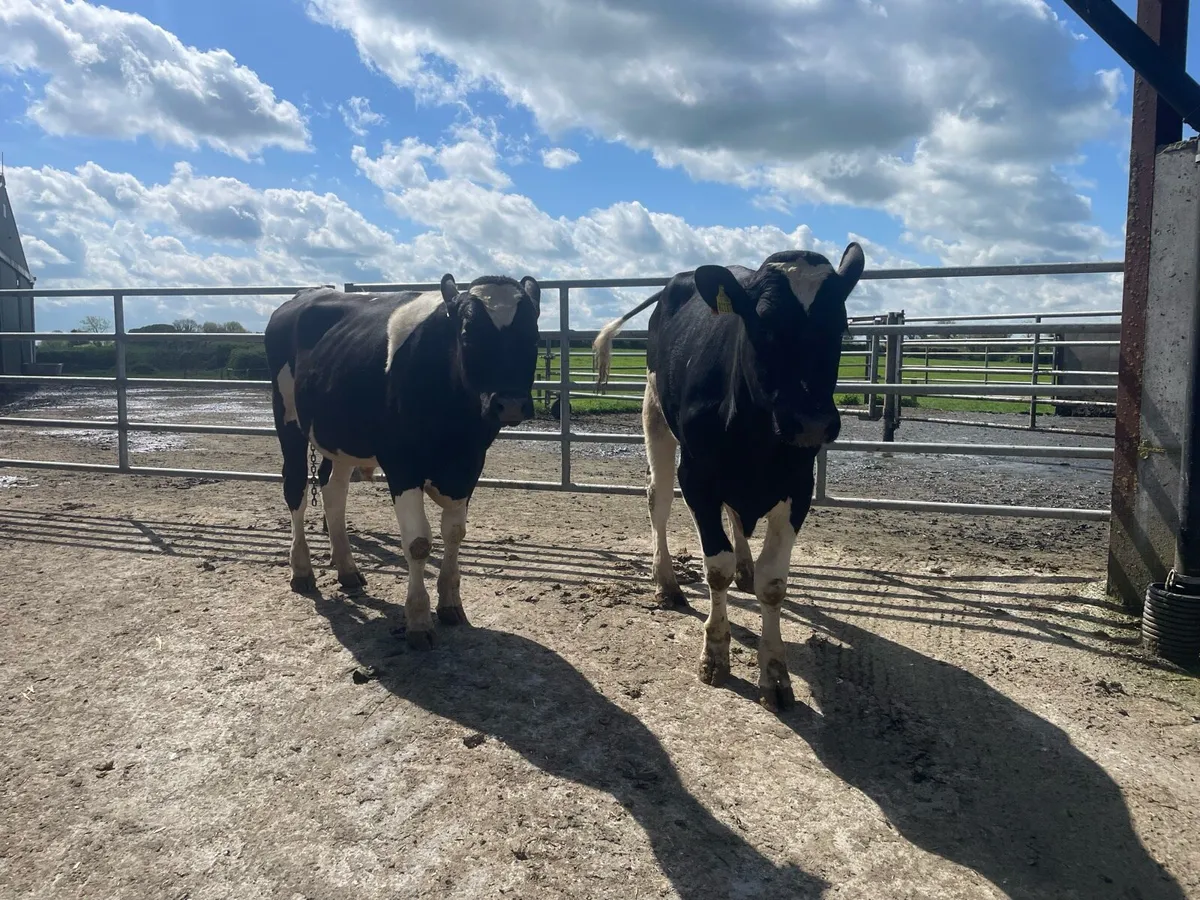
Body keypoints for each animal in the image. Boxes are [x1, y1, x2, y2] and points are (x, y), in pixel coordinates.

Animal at [265, 273, 542, 649]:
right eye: (468, 333)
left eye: (534, 334)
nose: (510, 403)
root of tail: (301, 296)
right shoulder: (401, 463)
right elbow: (418, 543)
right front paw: (419, 620)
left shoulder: (469, 464)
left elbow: (455, 532)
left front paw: (450, 604)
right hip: (289, 420)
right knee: (295, 489)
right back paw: (302, 569)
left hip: (339, 437)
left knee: (333, 492)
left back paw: (347, 568)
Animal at [591, 243, 865, 710]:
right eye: (763, 322)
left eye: (841, 323)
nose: (811, 420)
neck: (757, 436)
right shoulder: (697, 478)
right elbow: (714, 568)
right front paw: (715, 655)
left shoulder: (799, 486)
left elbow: (774, 584)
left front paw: (775, 673)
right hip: (654, 412)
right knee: (657, 499)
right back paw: (666, 582)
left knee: (736, 517)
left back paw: (745, 568)